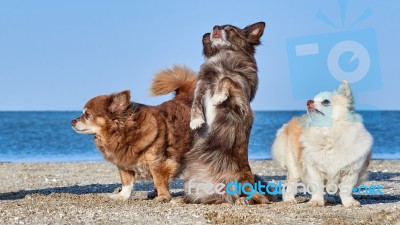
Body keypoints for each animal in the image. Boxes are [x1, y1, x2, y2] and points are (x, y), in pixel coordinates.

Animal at [72, 65, 198, 202]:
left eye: (87, 115)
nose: (72, 121)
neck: (123, 133)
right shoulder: (123, 163)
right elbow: (126, 181)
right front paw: (122, 195)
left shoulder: (157, 162)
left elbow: (159, 180)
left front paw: (163, 196)